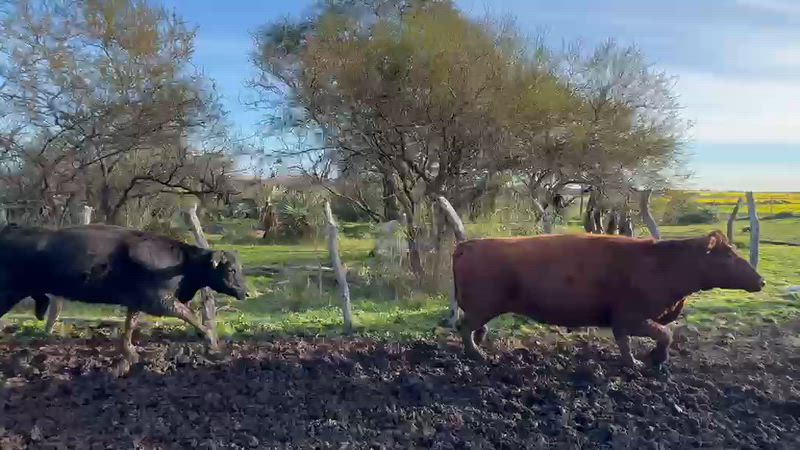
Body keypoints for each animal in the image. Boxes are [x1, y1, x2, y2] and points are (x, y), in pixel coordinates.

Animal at [0, 223, 248, 372]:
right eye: (231, 269)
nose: (246, 292)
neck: (182, 265)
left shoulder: (136, 301)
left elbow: (130, 326)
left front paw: (130, 354)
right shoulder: (158, 301)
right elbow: (191, 315)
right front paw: (212, 342)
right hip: (7, 293)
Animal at [452, 230, 764, 369]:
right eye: (728, 254)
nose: (761, 281)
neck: (664, 264)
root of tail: (467, 245)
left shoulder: (623, 320)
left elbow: (628, 341)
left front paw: (638, 362)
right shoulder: (632, 317)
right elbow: (666, 333)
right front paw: (652, 360)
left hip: (482, 308)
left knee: (474, 329)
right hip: (482, 306)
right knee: (465, 328)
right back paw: (479, 355)